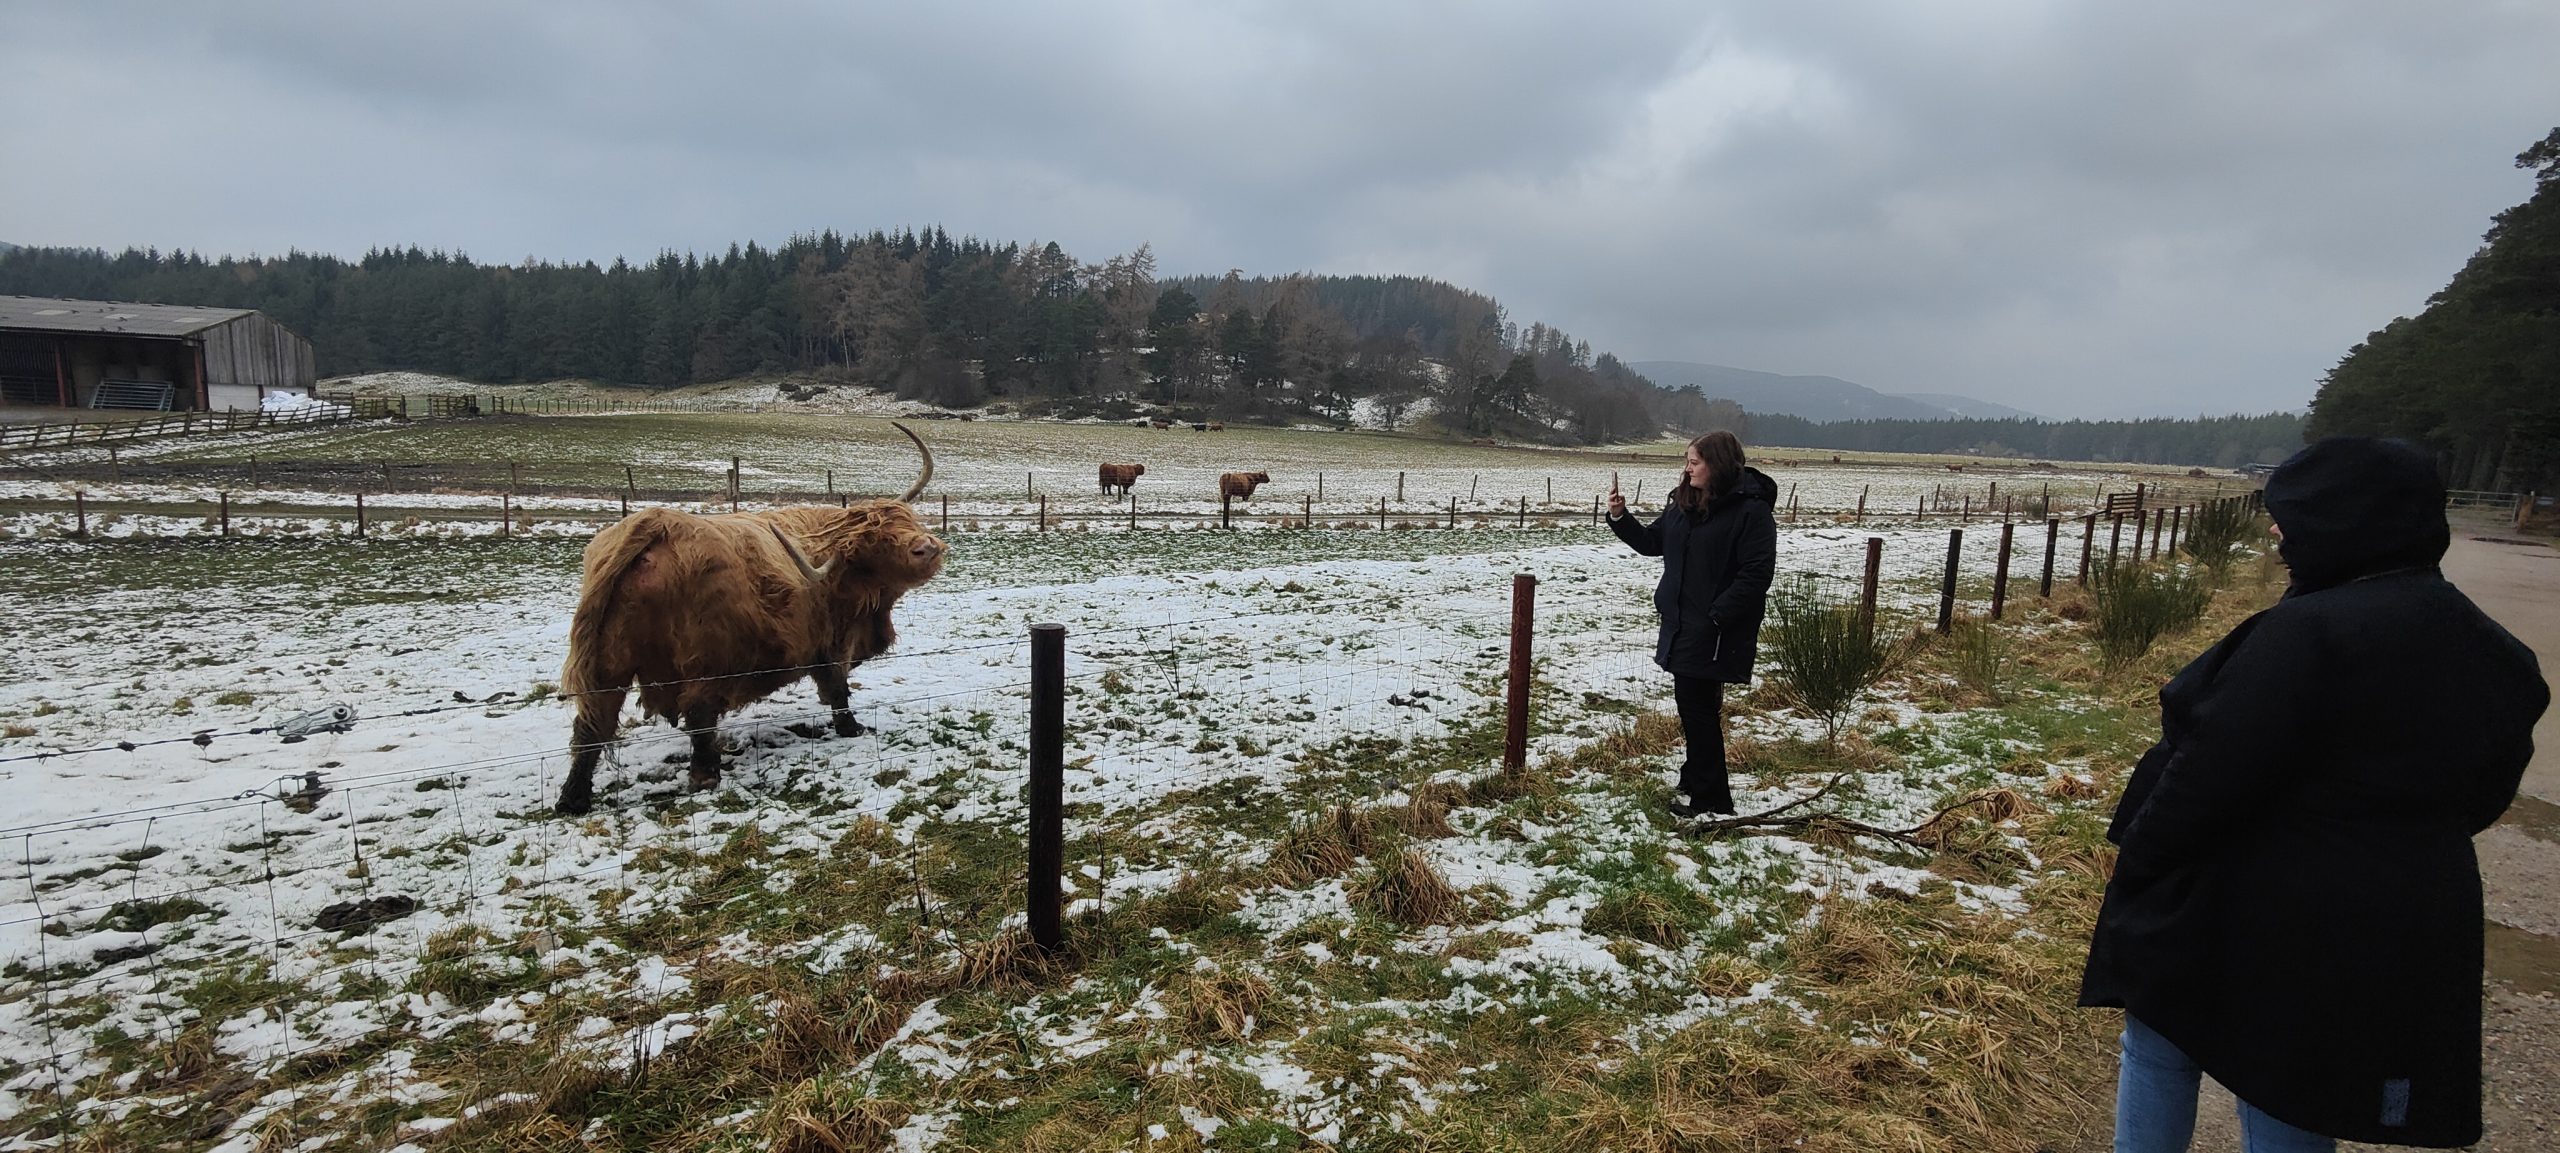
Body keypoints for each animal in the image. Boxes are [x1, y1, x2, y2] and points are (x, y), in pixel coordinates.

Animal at [553, 423, 945, 815]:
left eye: (908, 520)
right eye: (878, 543)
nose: (927, 548)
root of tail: (658, 524)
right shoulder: (832, 641)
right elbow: (837, 687)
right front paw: (852, 728)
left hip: (608, 660)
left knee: (593, 724)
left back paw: (573, 799)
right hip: (705, 658)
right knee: (697, 714)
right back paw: (705, 776)